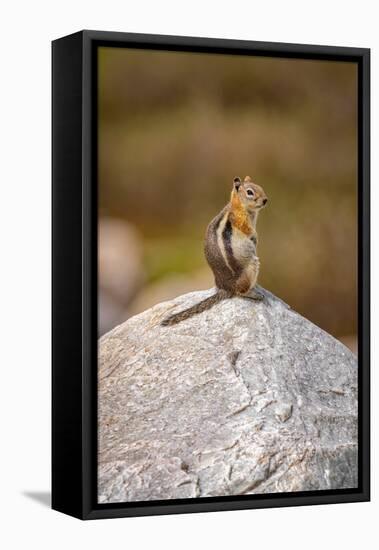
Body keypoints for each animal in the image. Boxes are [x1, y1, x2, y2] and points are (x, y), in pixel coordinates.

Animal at [162, 177, 268, 326]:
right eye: (250, 192)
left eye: (260, 187)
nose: (265, 200)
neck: (238, 205)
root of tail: (226, 288)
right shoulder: (242, 221)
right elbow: (249, 231)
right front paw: (254, 238)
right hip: (251, 267)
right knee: (240, 292)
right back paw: (254, 294)